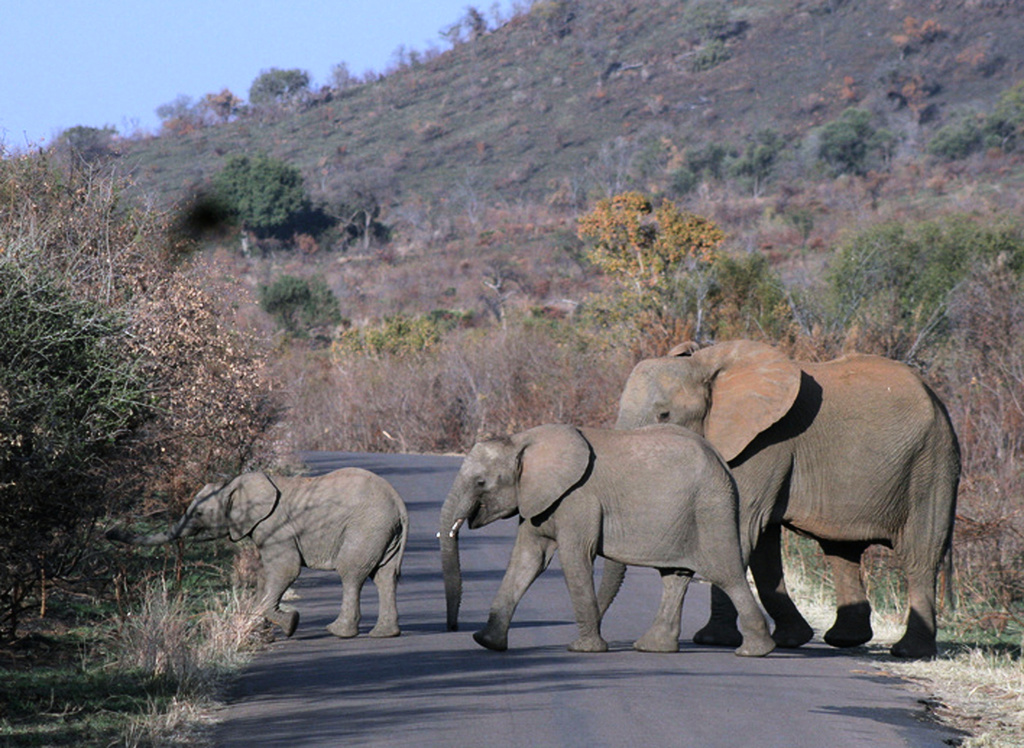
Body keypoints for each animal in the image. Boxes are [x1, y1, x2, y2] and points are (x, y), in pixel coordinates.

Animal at [105, 467, 405, 635]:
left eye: (199, 513)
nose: (110, 533)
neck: (234, 485)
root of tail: (398, 501)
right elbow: (265, 574)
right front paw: (263, 629)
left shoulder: (276, 527)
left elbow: (285, 570)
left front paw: (291, 624)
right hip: (384, 533)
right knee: (385, 576)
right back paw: (384, 634)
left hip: (365, 527)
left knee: (351, 574)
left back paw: (338, 631)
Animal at [438, 422, 774, 655]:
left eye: (480, 482)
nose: (453, 627)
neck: (521, 441)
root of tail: (721, 461)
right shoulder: (538, 500)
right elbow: (527, 560)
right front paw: (487, 643)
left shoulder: (577, 499)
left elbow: (574, 558)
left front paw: (584, 649)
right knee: (675, 577)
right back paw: (652, 647)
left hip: (711, 508)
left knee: (725, 573)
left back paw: (755, 651)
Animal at [606, 340, 958, 655]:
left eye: (664, 415)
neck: (704, 364)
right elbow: (761, 549)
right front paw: (789, 640)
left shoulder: (764, 442)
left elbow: (737, 531)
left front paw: (713, 641)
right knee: (840, 552)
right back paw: (845, 640)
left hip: (930, 466)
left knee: (920, 556)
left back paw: (909, 652)